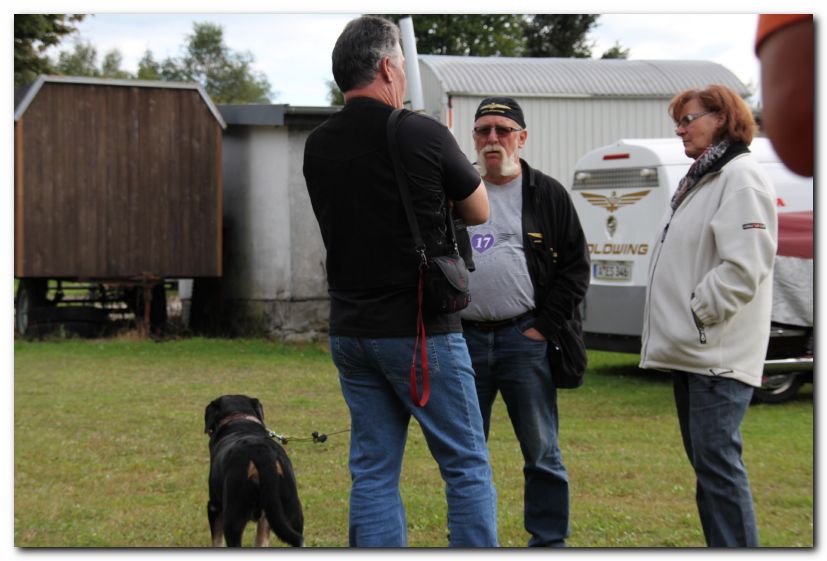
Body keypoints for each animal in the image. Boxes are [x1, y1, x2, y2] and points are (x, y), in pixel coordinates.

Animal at [204, 392, 304, 544]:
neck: (238, 418)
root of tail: (261, 452)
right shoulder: (266, 518)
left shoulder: (214, 507)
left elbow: (217, 541)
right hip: (293, 510)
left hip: (233, 517)